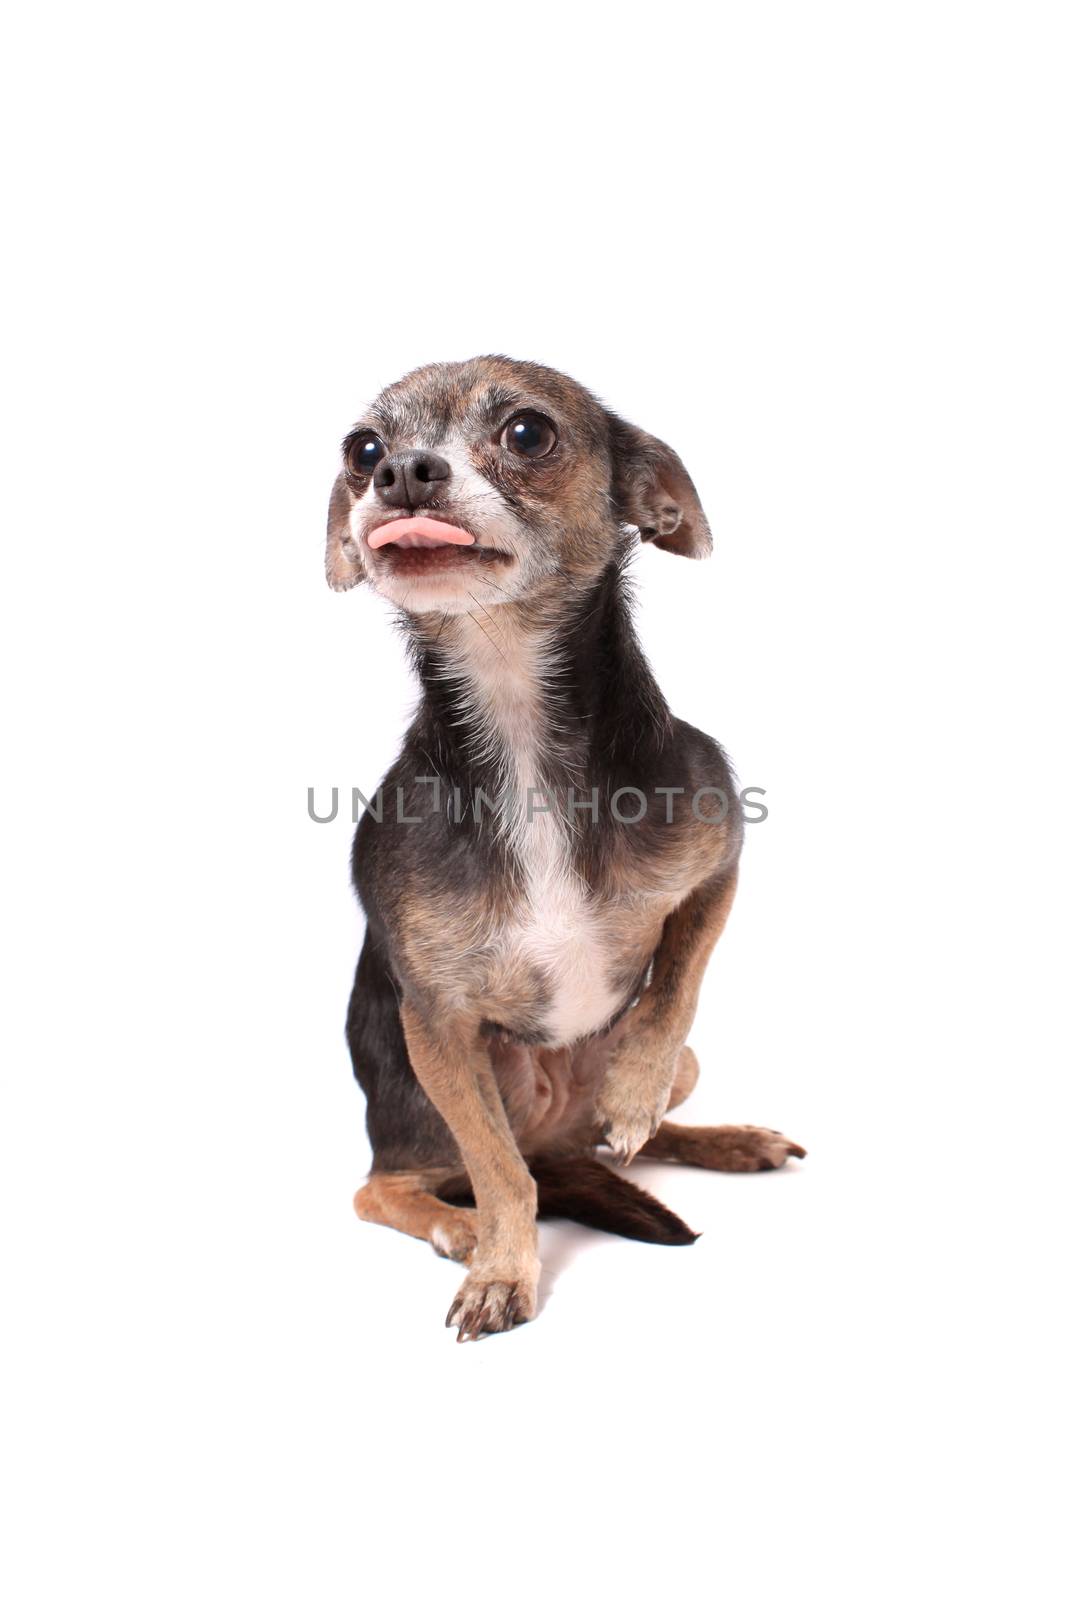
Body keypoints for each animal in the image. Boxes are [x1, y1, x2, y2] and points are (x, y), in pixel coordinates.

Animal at [326, 353, 799, 1337]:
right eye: (363, 449)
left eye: (527, 433)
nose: (402, 473)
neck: (515, 723)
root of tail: (558, 1136)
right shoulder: (437, 1023)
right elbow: (502, 1177)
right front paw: (501, 1267)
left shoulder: (720, 865)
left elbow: (673, 991)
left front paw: (632, 1087)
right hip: (426, 1109)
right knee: (397, 1184)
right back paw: (455, 1226)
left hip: (677, 1071)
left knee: (634, 1136)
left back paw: (718, 1138)